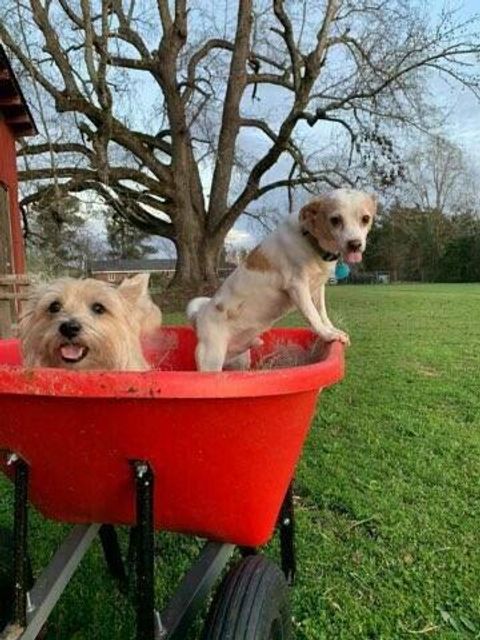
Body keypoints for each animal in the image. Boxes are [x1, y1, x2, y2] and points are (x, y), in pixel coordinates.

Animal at [188, 188, 378, 372]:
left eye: (365, 219)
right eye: (335, 220)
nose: (355, 244)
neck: (310, 240)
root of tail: (200, 315)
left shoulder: (318, 289)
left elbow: (322, 313)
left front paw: (331, 329)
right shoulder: (298, 287)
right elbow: (313, 316)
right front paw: (328, 335)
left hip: (239, 362)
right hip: (212, 362)